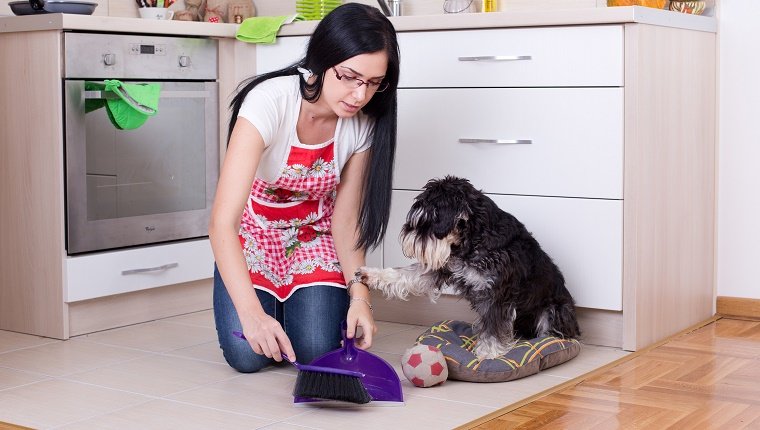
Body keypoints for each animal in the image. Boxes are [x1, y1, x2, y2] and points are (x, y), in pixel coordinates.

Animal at [360, 175, 580, 360]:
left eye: (427, 222)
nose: (405, 239)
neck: (473, 240)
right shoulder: (440, 268)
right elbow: (404, 275)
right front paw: (369, 274)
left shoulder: (496, 295)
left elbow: (492, 330)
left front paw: (486, 356)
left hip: (554, 311)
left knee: (552, 333)